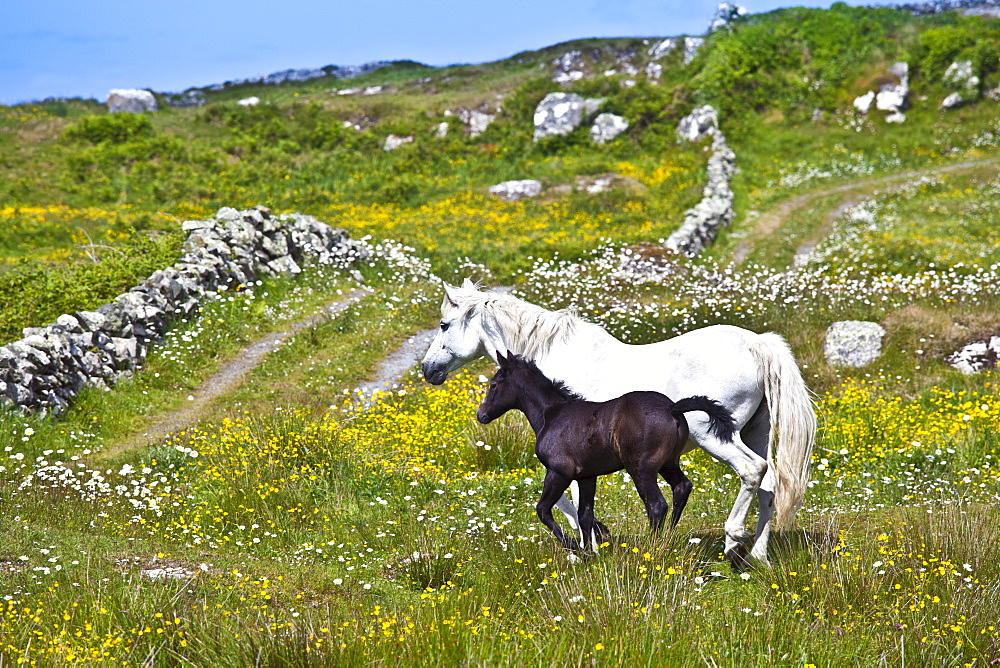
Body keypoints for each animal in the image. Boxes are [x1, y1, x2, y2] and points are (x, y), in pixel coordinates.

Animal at [418, 280, 816, 568]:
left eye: (444, 325)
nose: (427, 369)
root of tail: (759, 345)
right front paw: (595, 540)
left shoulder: (570, 463)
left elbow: (569, 505)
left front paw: (587, 546)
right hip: (755, 432)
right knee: (769, 484)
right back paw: (757, 556)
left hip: (714, 435)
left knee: (751, 471)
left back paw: (733, 542)